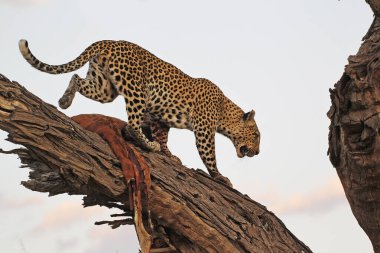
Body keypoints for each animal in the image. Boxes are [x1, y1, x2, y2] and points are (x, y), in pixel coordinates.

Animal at [18, 38, 262, 187]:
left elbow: (163, 136)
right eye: (257, 136)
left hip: (104, 88)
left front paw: (168, 155)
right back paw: (148, 145)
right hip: (135, 89)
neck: (224, 111)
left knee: (76, 78)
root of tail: (109, 41)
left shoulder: (159, 119)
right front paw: (220, 177)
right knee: (132, 123)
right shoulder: (203, 130)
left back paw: (65, 100)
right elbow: (209, 155)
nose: (258, 153)